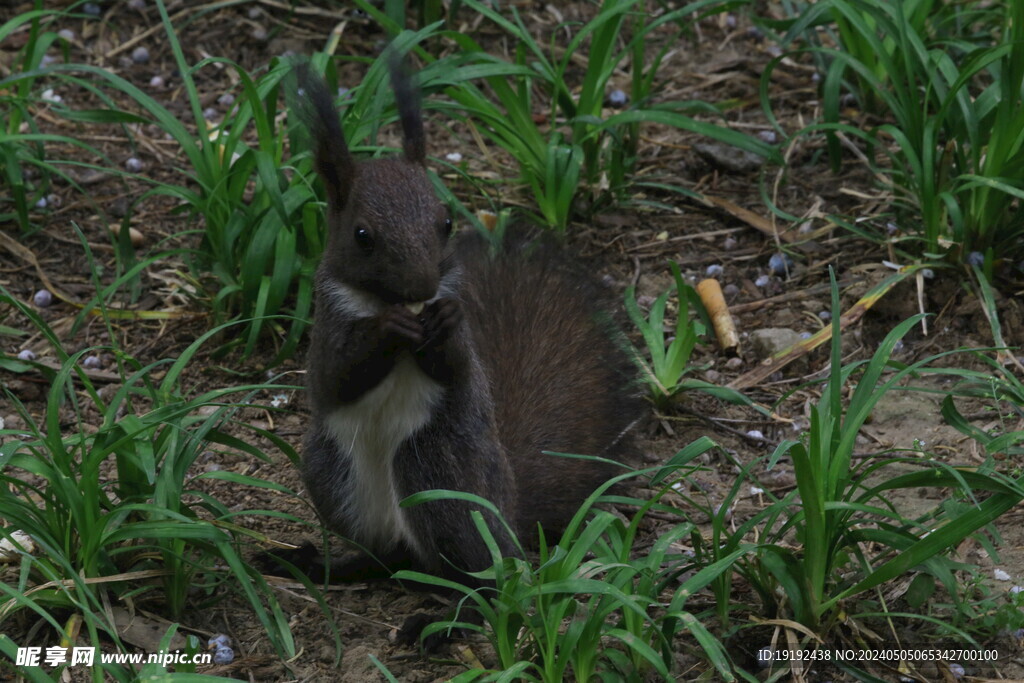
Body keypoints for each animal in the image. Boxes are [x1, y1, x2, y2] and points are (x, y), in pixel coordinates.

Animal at [299, 60, 638, 581]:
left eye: (446, 222)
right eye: (362, 236)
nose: (422, 289)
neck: (384, 301)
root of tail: (508, 508)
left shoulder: (461, 344)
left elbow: (456, 364)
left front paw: (443, 323)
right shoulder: (330, 321)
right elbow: (337, 375)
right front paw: (387, 330)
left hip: (439, 471)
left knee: (476, 566)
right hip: (330, 474)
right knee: (384, 558)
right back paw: (327, 566)